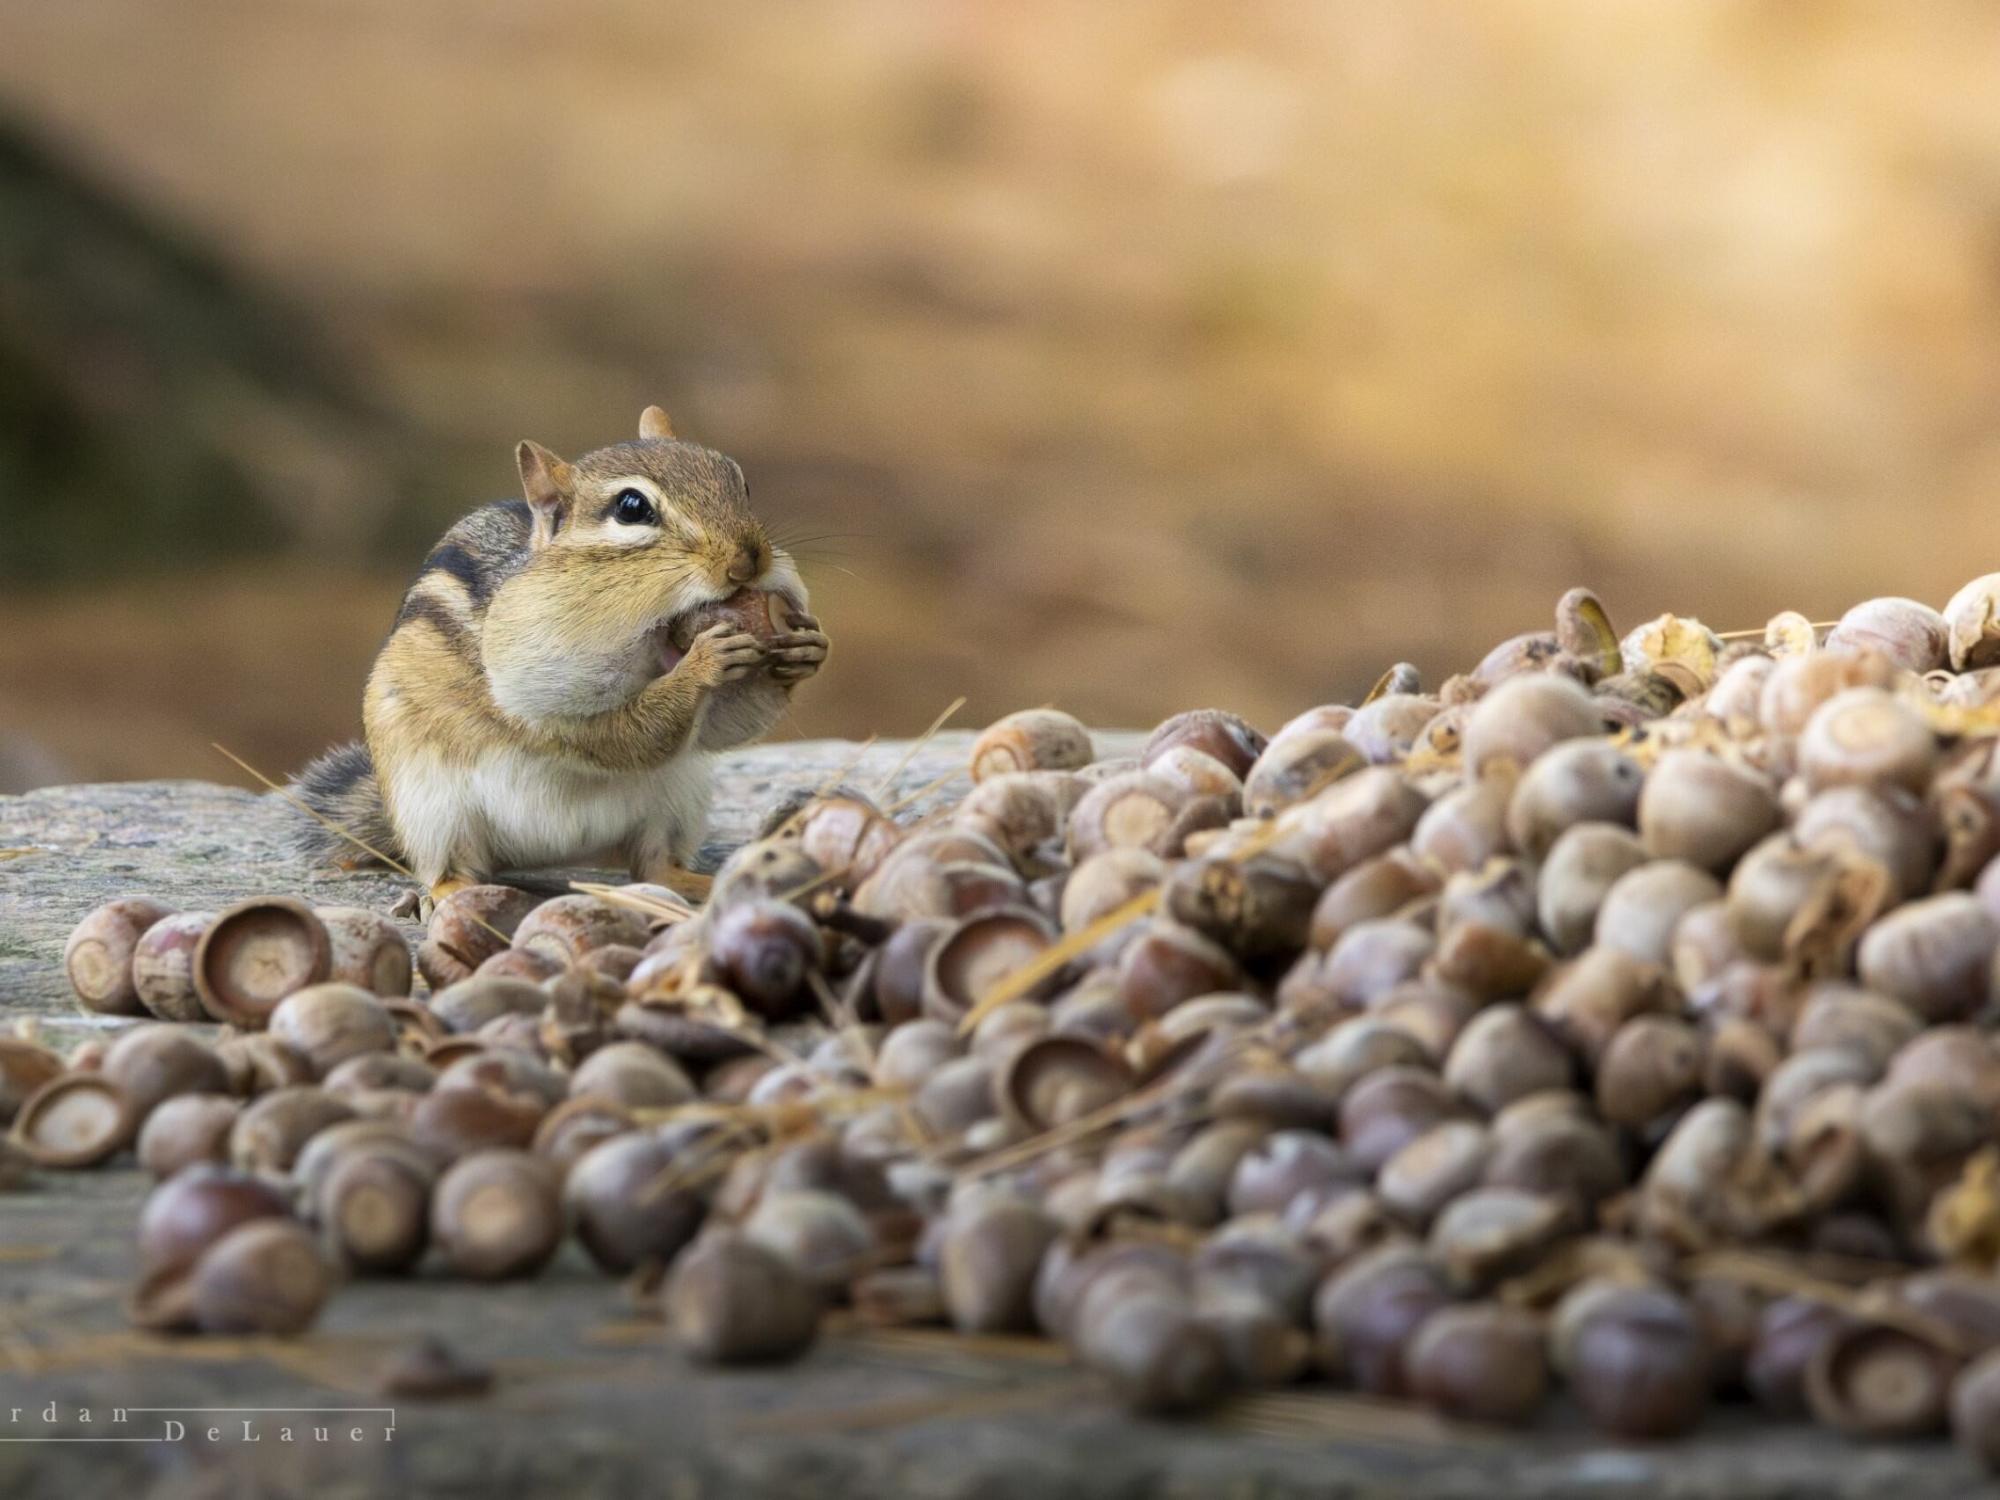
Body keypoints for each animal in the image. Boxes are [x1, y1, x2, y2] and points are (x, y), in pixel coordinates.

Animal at [289, 405, 828, 904]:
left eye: (741, 481)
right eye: (632, 507)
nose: (748, 561)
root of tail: (555, 857)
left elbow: (724, 726)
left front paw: (808, 649)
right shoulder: (544, 694)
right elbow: (613, 734)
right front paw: (704, 662)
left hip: (679, 797)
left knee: (654, 868)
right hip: (429, 807)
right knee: (450, 867)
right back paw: (452, 894)